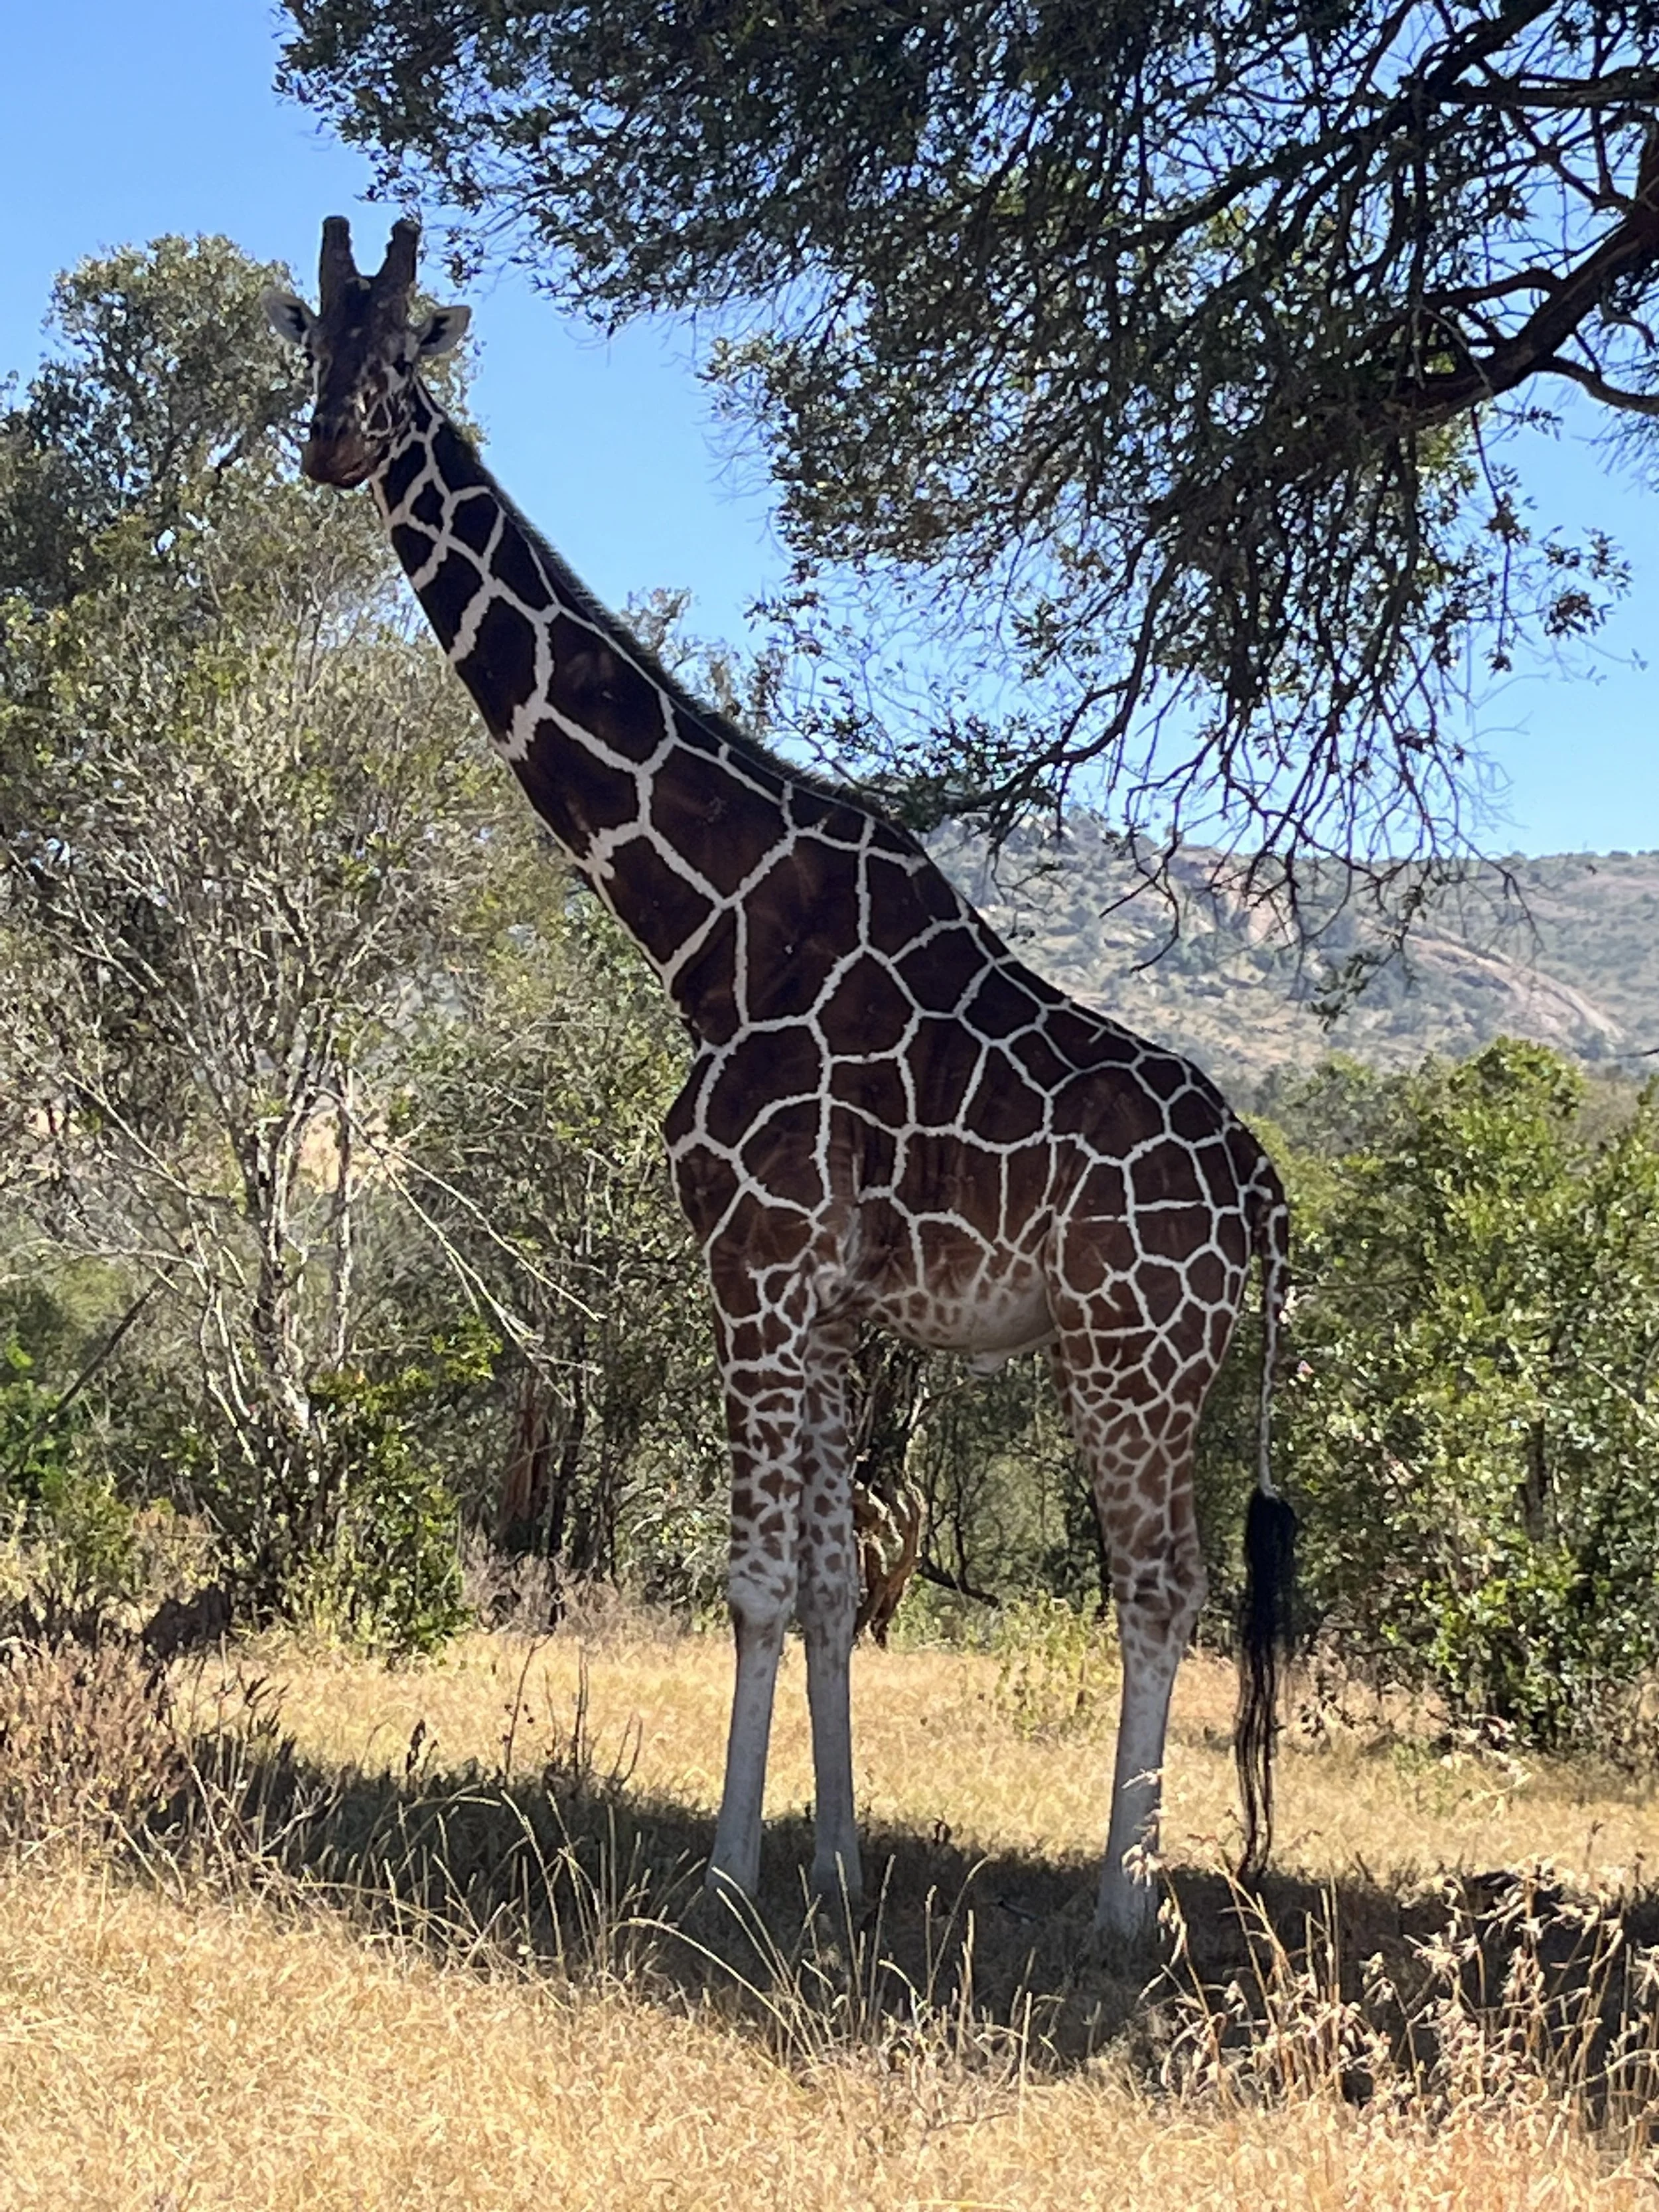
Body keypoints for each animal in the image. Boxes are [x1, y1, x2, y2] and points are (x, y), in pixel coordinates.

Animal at [263, 218, 1296, 1942]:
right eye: (314, 342)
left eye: (405, 351)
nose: (334, 443)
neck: (715, 925)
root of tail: (1268, 1198)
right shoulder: (823, 1296)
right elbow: (821, 1581)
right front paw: (833, 1869)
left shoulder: (751, 1264)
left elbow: (749, 1582)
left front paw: (727, 1874)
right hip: (1161, 1362)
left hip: (1131, 1354)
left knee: (1163, 1589)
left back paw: (1120, 1910)